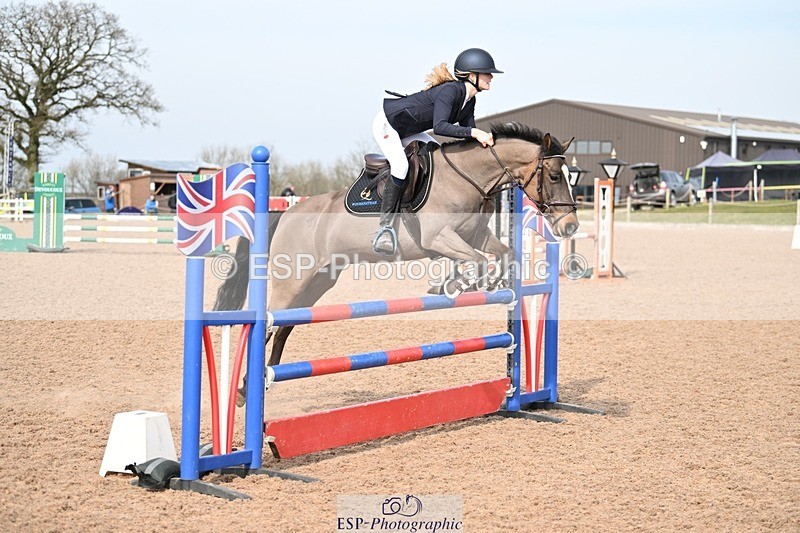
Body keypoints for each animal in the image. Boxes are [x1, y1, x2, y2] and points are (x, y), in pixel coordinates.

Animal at [214, 122, 577, 399]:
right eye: (555, 176)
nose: (569, 226)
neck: (466, 177)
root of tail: (285, 214)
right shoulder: (438, 238)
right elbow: (477, 260)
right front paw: (459, 284)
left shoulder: (476, 236)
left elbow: (503, 254)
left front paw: (488, 281)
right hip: (291, 282)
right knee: (268, 325)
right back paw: (246, 390)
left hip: (318, 280)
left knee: (285, 327)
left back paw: (260, 383)